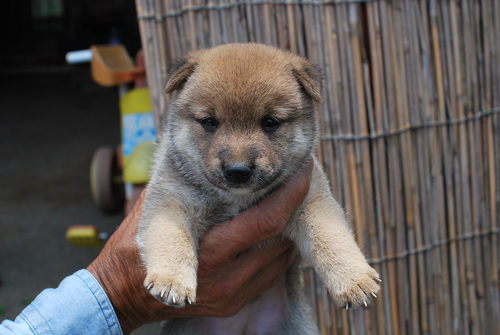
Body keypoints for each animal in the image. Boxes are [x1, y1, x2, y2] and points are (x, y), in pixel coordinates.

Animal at [137, 43, 378, 334]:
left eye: (270, 122)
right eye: (209, 122)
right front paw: (171, 281)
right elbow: (171, 239)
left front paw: (353, 279)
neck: (237, 200)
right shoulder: (170, 203)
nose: (237, 170)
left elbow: (331, 238)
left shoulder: (312, 200)